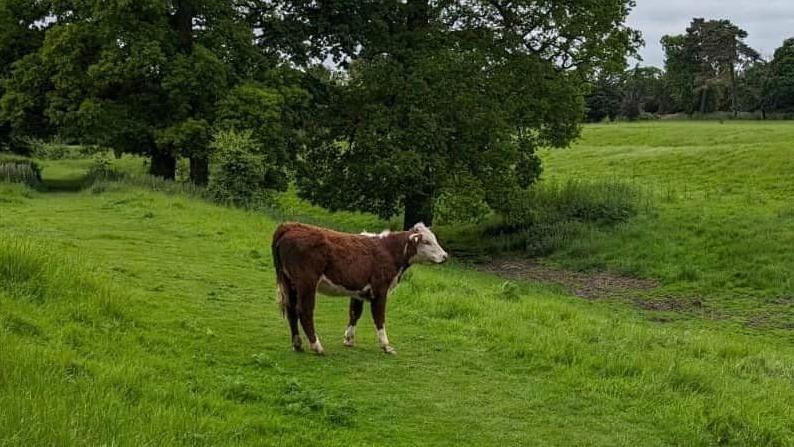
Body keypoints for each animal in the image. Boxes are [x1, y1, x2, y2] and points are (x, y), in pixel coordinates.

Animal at [270, 222, 446, 356]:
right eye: (427, 242)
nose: (445, 256)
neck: (389, 250)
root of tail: (290, 226)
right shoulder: (380, 290)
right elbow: (379, 317)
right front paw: (386, 346)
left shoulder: (358, 291)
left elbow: (355, 313)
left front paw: (348, 339)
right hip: (306, 283)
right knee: (304, 311)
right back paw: (317, 347)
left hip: (290, 283)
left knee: (291, 311)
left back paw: (297, 344)